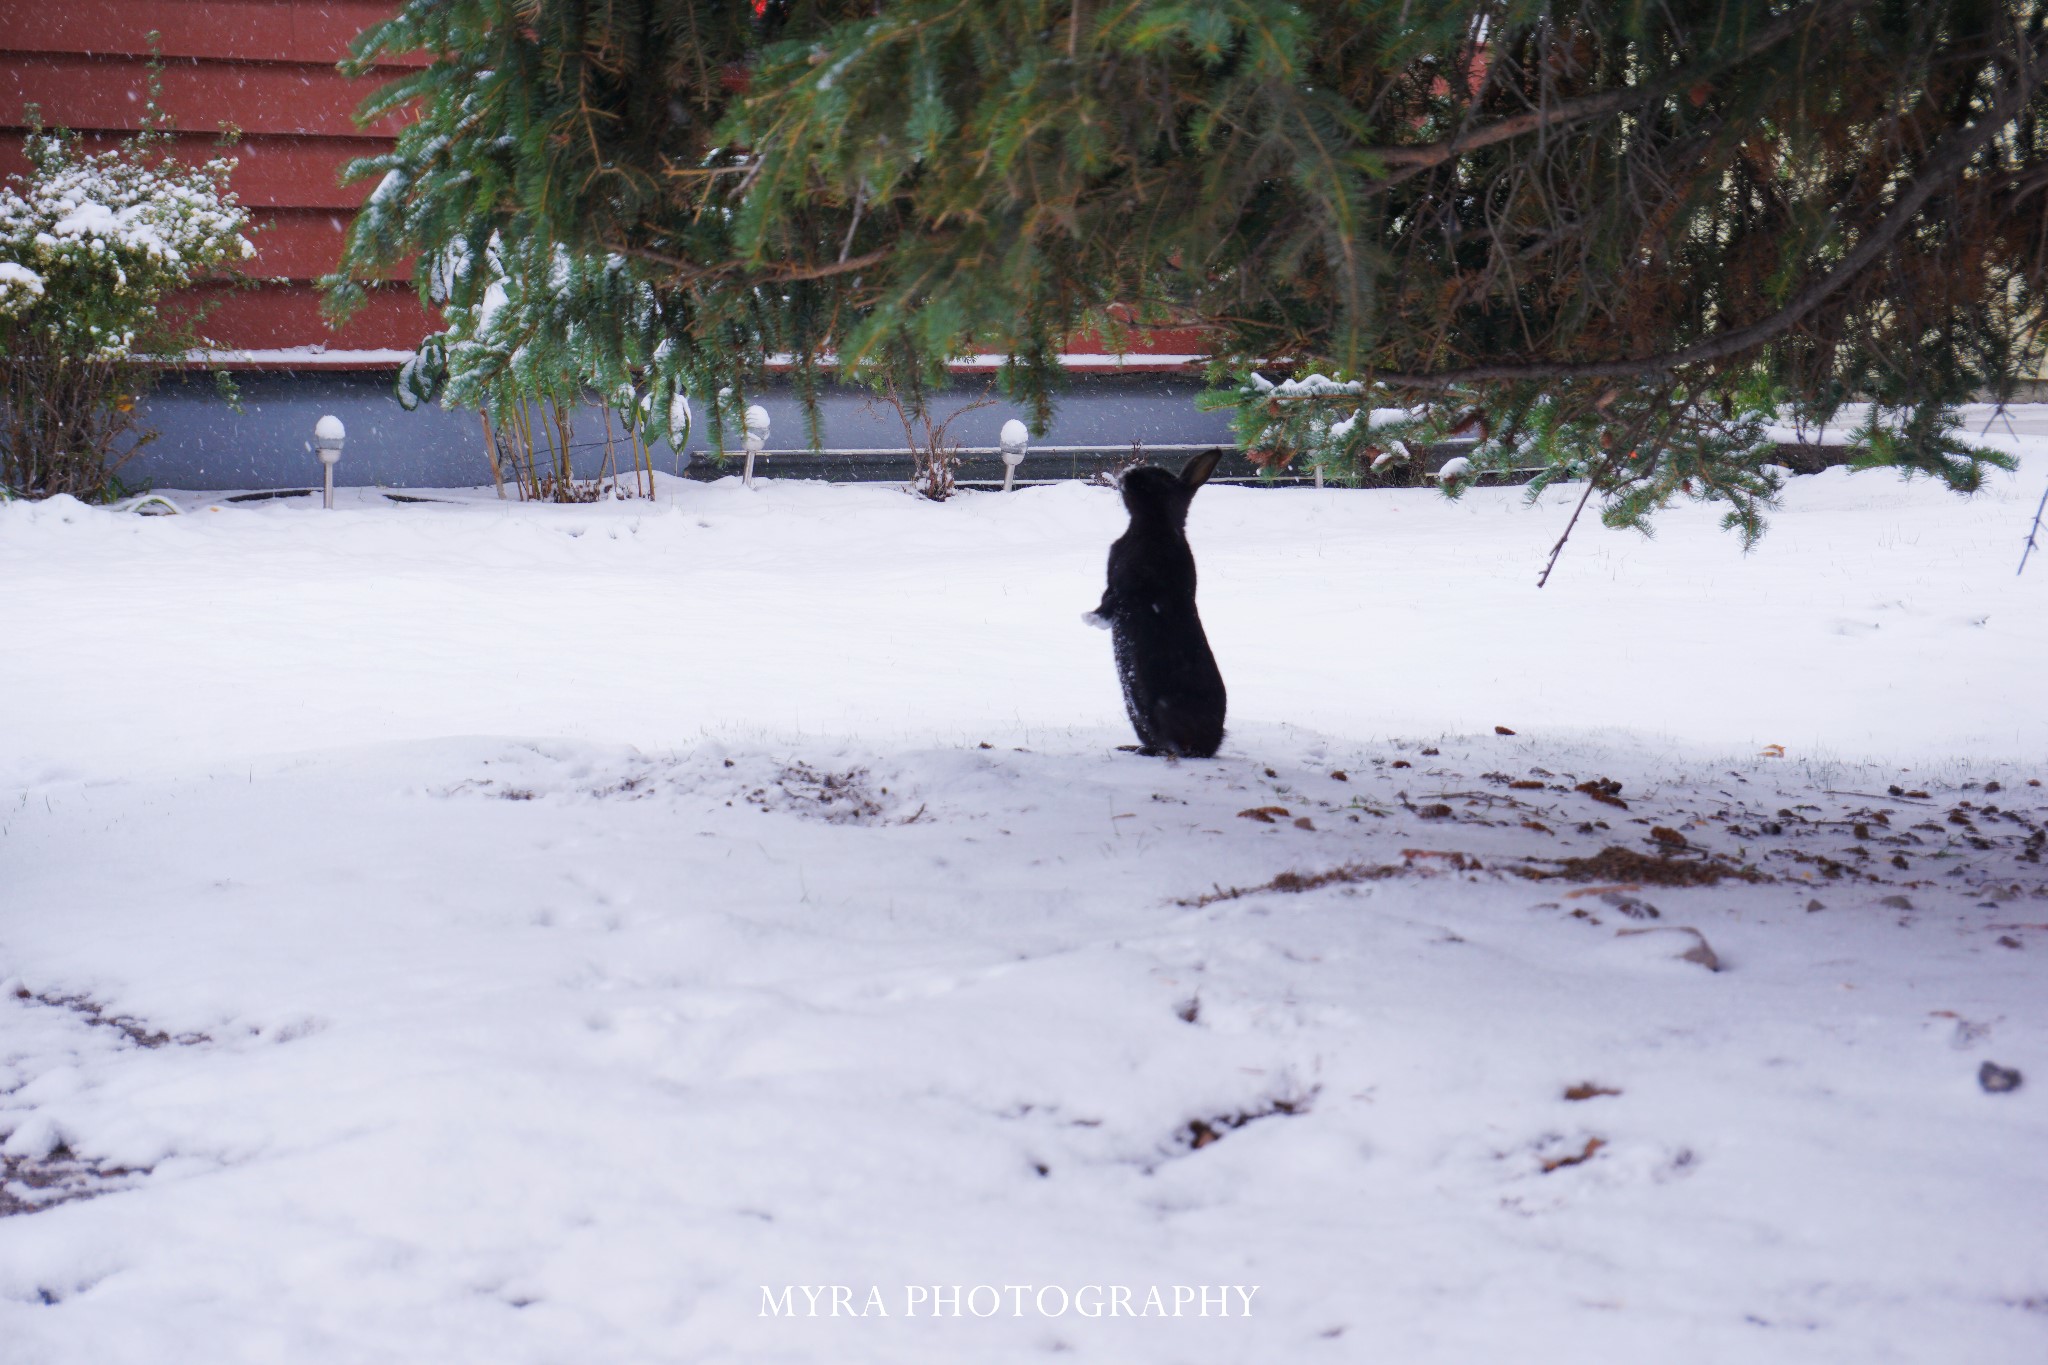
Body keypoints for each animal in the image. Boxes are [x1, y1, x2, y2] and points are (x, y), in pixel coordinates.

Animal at [1089, 450, 1228, 757]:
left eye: (1157, 478)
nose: (1128, 472)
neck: (1154, 526)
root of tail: (1213, 743)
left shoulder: (1132, 584)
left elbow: (1112, 600)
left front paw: (1092, 620)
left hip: (1164, 713)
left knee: (1174, 748)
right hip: (1137, 716)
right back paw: (1132, 748)